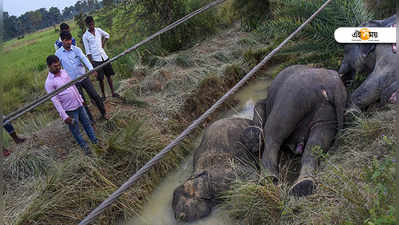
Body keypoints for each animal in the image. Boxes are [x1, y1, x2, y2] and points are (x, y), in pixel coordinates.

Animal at [255, 64, 348, 197]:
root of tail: (333, 84)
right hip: (325, 107)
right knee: (317, 141)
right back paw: (303, 185)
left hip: (292, 98)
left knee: (274, 132)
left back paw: (268, 180)